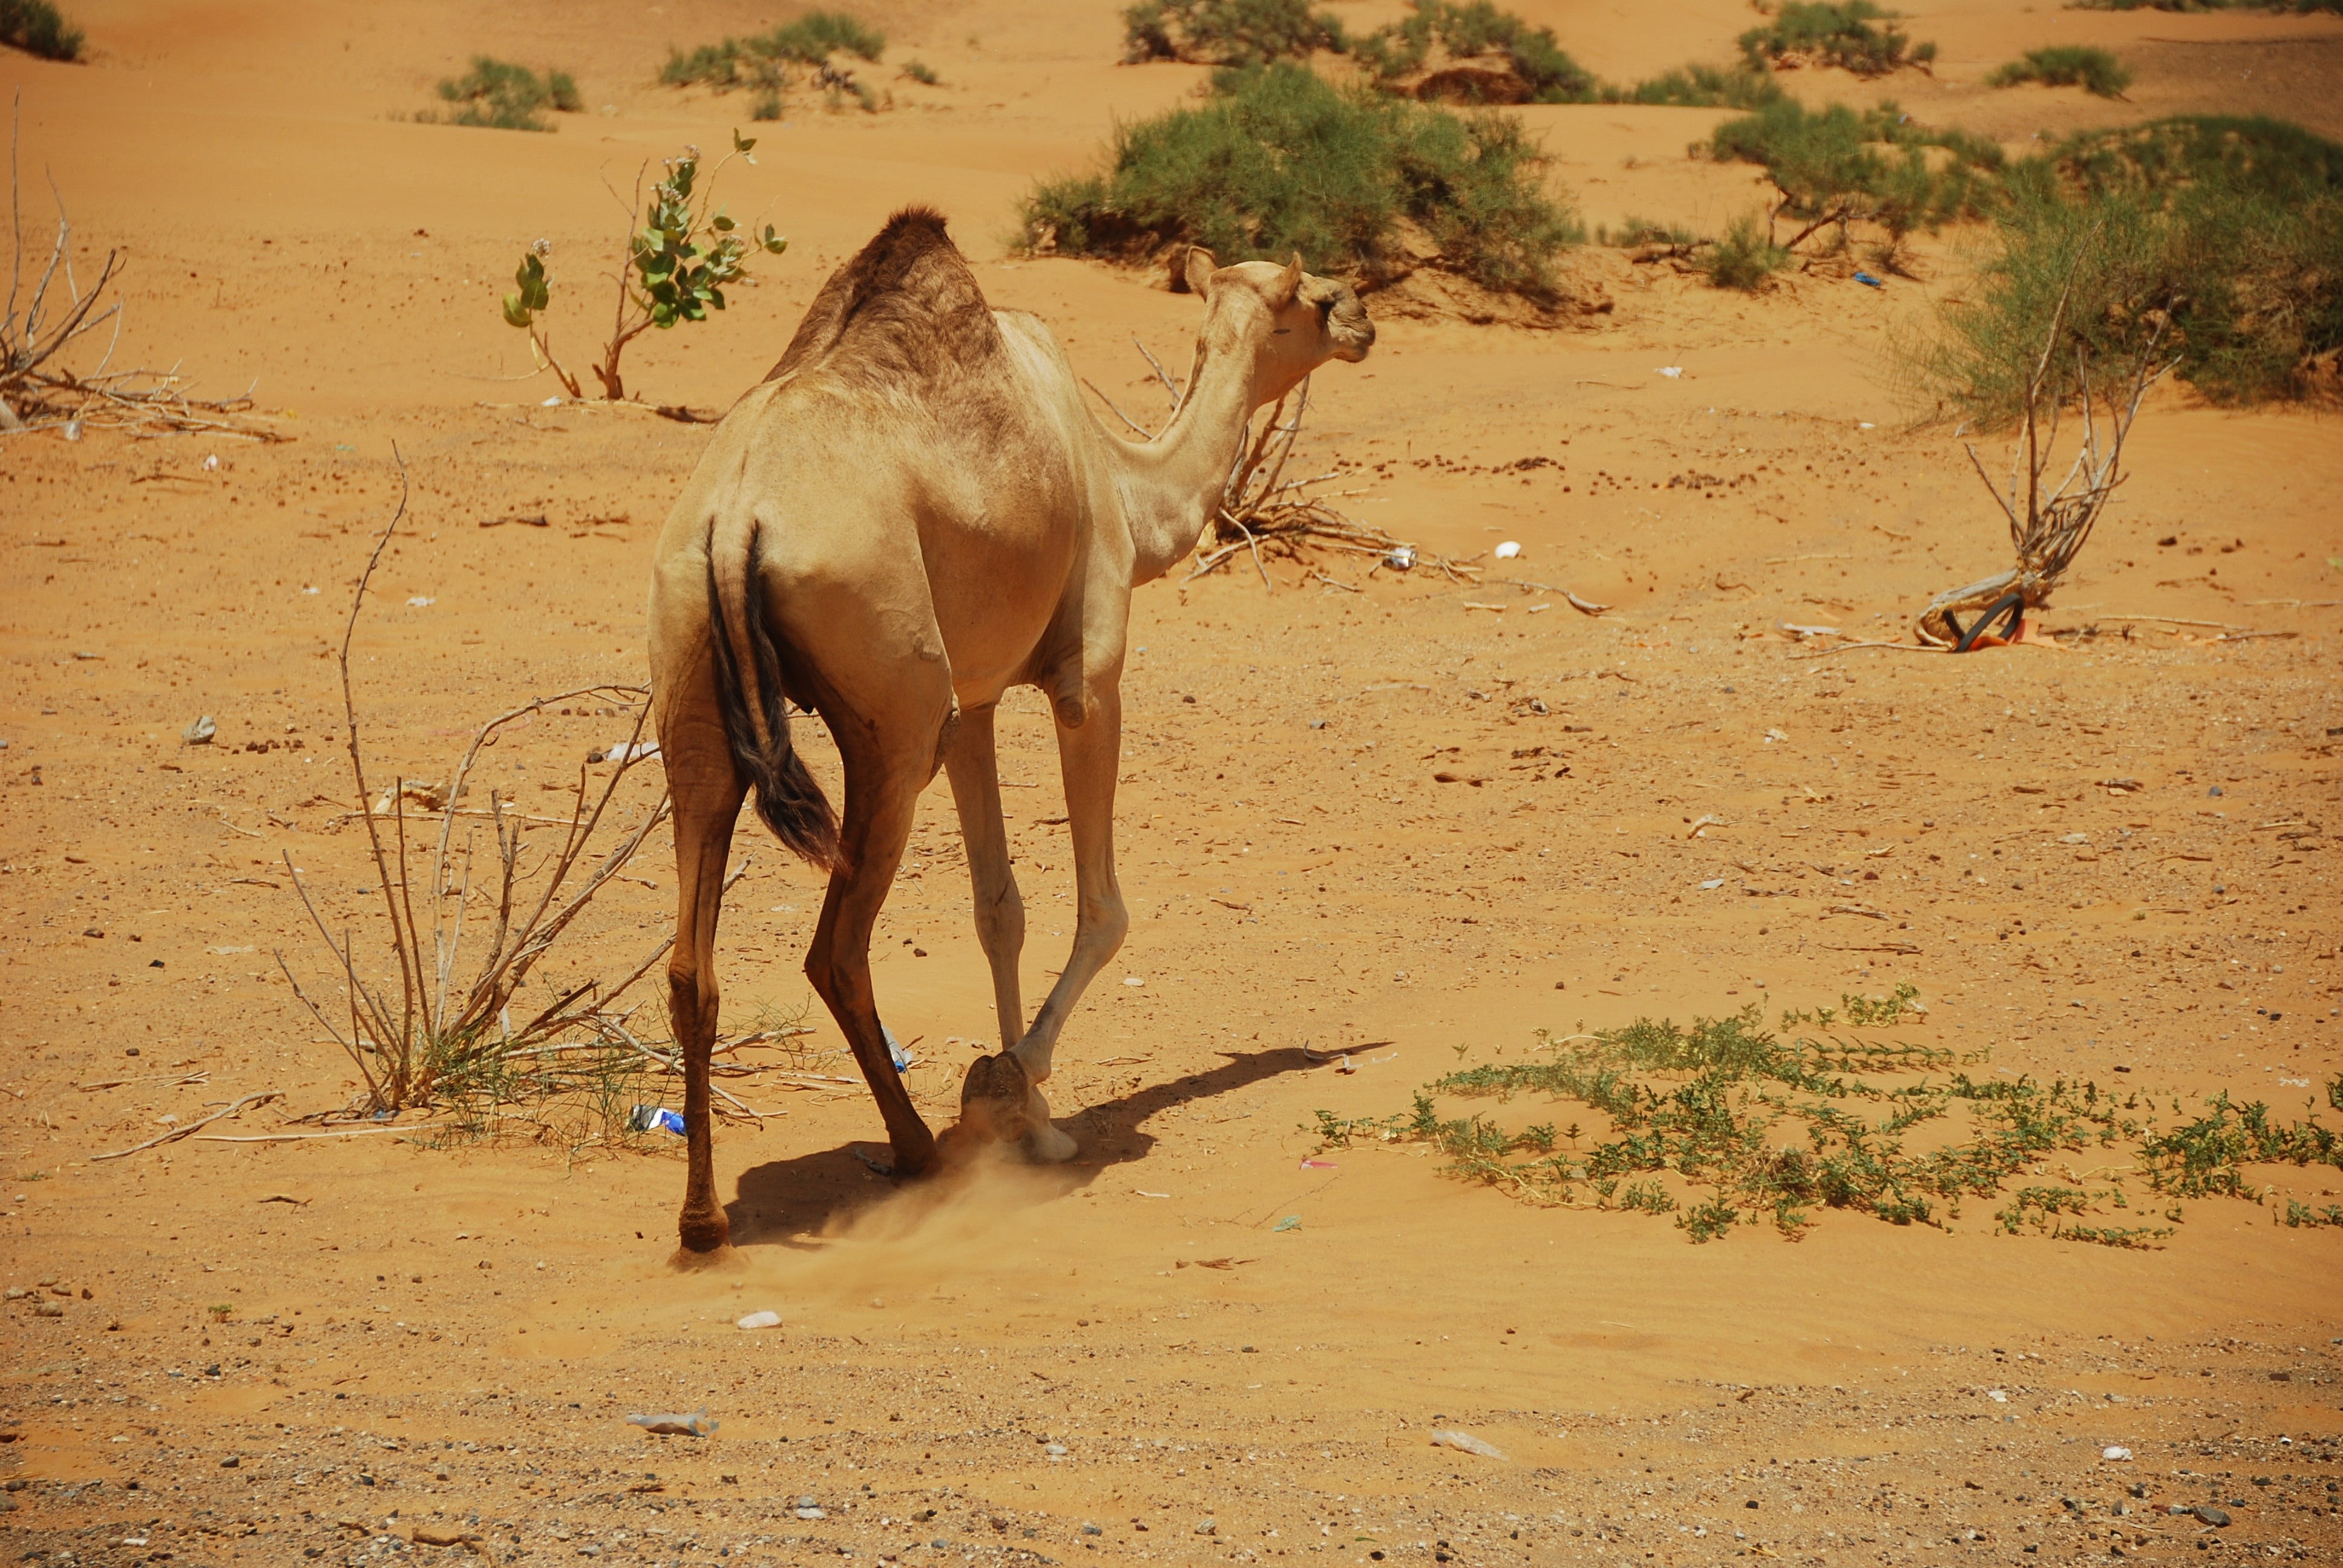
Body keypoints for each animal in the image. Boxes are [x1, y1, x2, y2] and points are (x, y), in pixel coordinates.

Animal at [645, 207, 1374, 1261]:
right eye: (1319, 297)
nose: (1366, 317)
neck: (1127, 484)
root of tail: (736, 519)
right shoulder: (1087, 677)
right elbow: (1103, 910)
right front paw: (1014, 1093)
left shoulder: (979, 698)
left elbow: (999, 908)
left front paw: (1023, 1102)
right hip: (895, 711)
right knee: (836, 947)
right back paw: (916, 1148)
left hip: (692, 681)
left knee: (691, 959)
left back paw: (704, 1220)